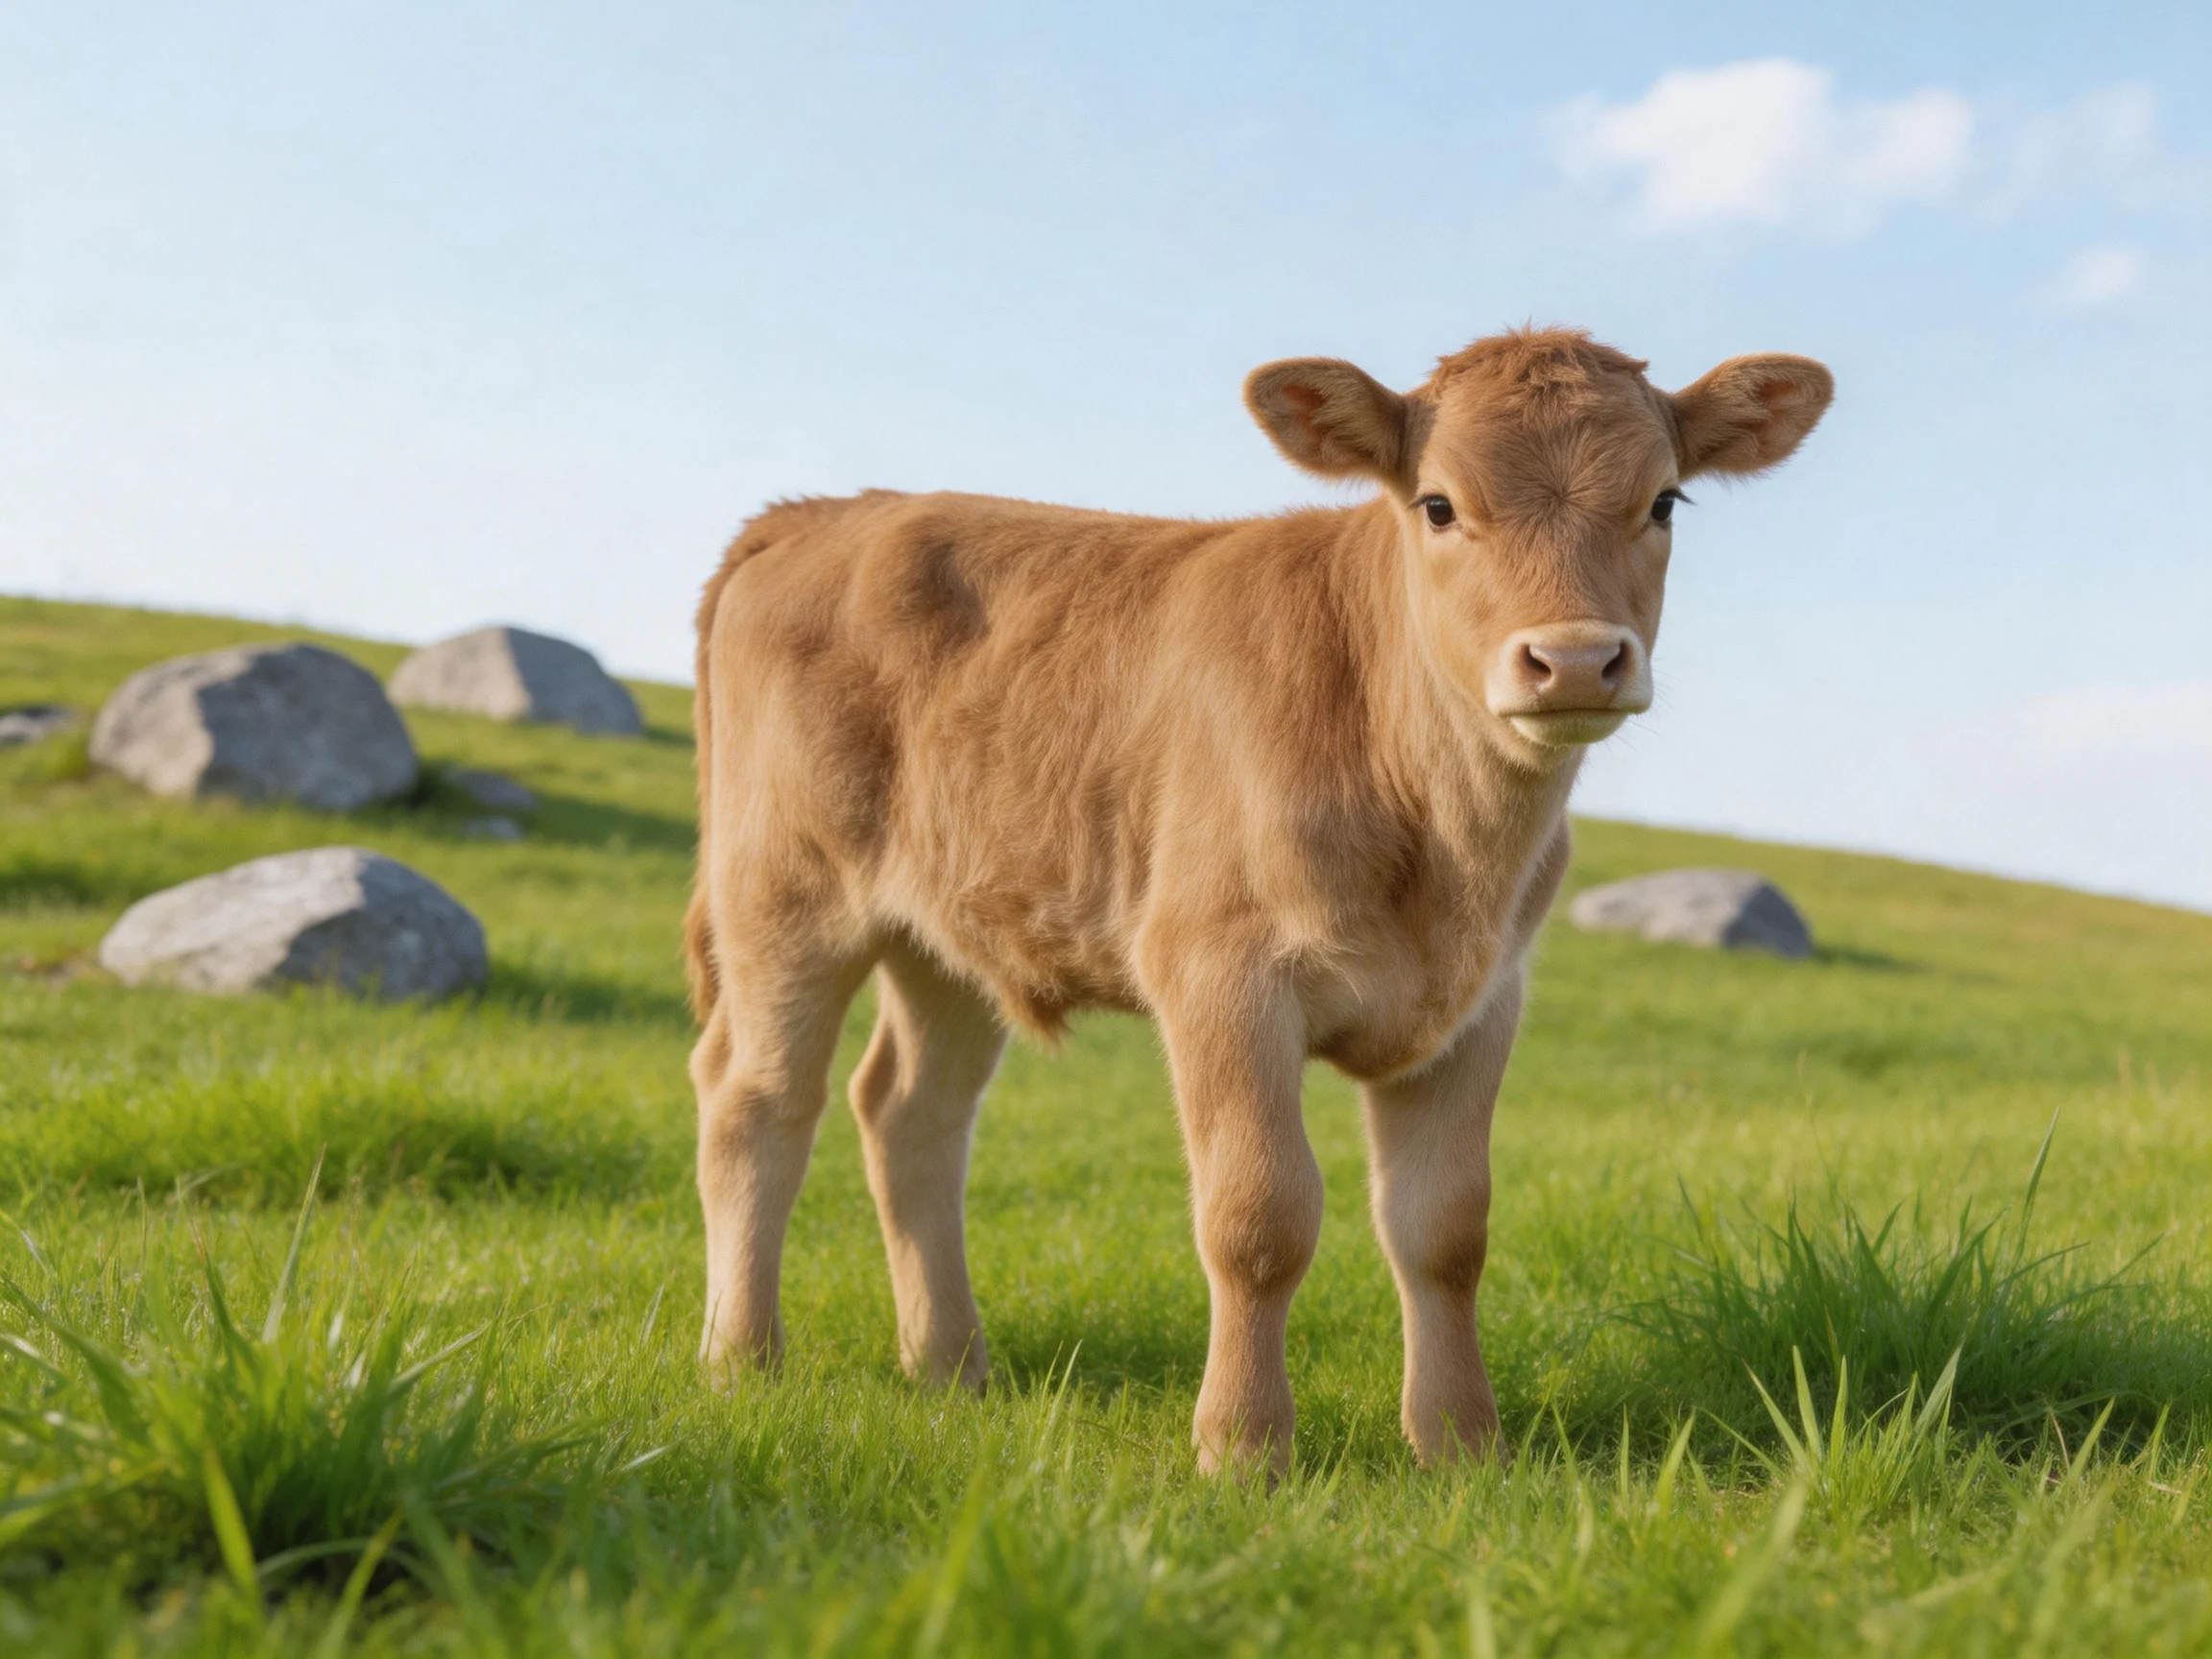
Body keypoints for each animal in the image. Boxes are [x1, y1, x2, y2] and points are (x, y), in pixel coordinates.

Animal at [686, 328, 1832, 1475]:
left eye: (1665, 501)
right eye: (1439, 505)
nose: (1578, 660)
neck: (1440, 838)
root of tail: (820, 512)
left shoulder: (1482, 1002)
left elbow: (1447, 1229)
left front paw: (1462, 1446)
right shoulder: (1219, 973)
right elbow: (1260, 1218)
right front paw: (1242, 1448)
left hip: (952, 933)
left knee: (912, 1113)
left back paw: (951, 1367)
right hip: (783, 894)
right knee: (757, 1100)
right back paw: (743, 1361)